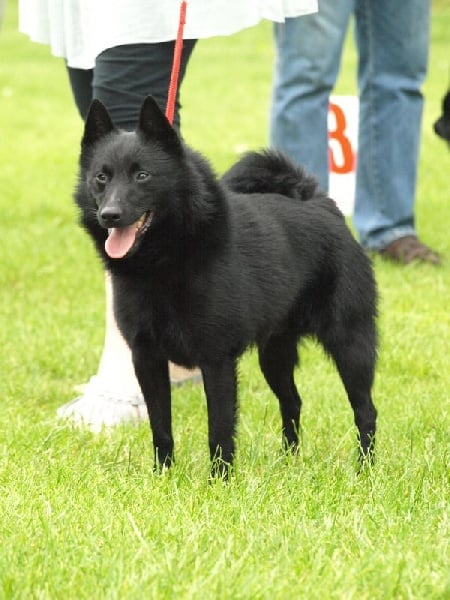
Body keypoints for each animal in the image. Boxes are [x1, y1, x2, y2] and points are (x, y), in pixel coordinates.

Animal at [75, 96, 378, 476]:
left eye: (142, 175)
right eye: (101, 177)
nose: (110, 215)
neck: (165, 263)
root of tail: (323, 205)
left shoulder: (216, 359)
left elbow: (218, 428)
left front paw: (220, 480)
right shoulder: (147, 358)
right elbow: (161, 426)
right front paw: (163, 476)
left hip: (350, 344)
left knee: (365, 410)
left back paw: (365, 469)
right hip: (274, 353)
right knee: (292, 401)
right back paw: (289, 461)